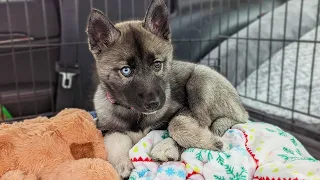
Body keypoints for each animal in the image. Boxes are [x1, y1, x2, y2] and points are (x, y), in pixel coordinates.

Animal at [85, 0, 248, 177]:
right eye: (126, 70)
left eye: (157, 65)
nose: (154, 104)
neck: (135, 114)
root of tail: (241, 108)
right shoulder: (104, 126)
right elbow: (115, 137)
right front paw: (121, 163)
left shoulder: (183, 109)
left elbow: (177, 124)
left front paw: (208, 141)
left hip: (200, 79)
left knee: (211, 122)